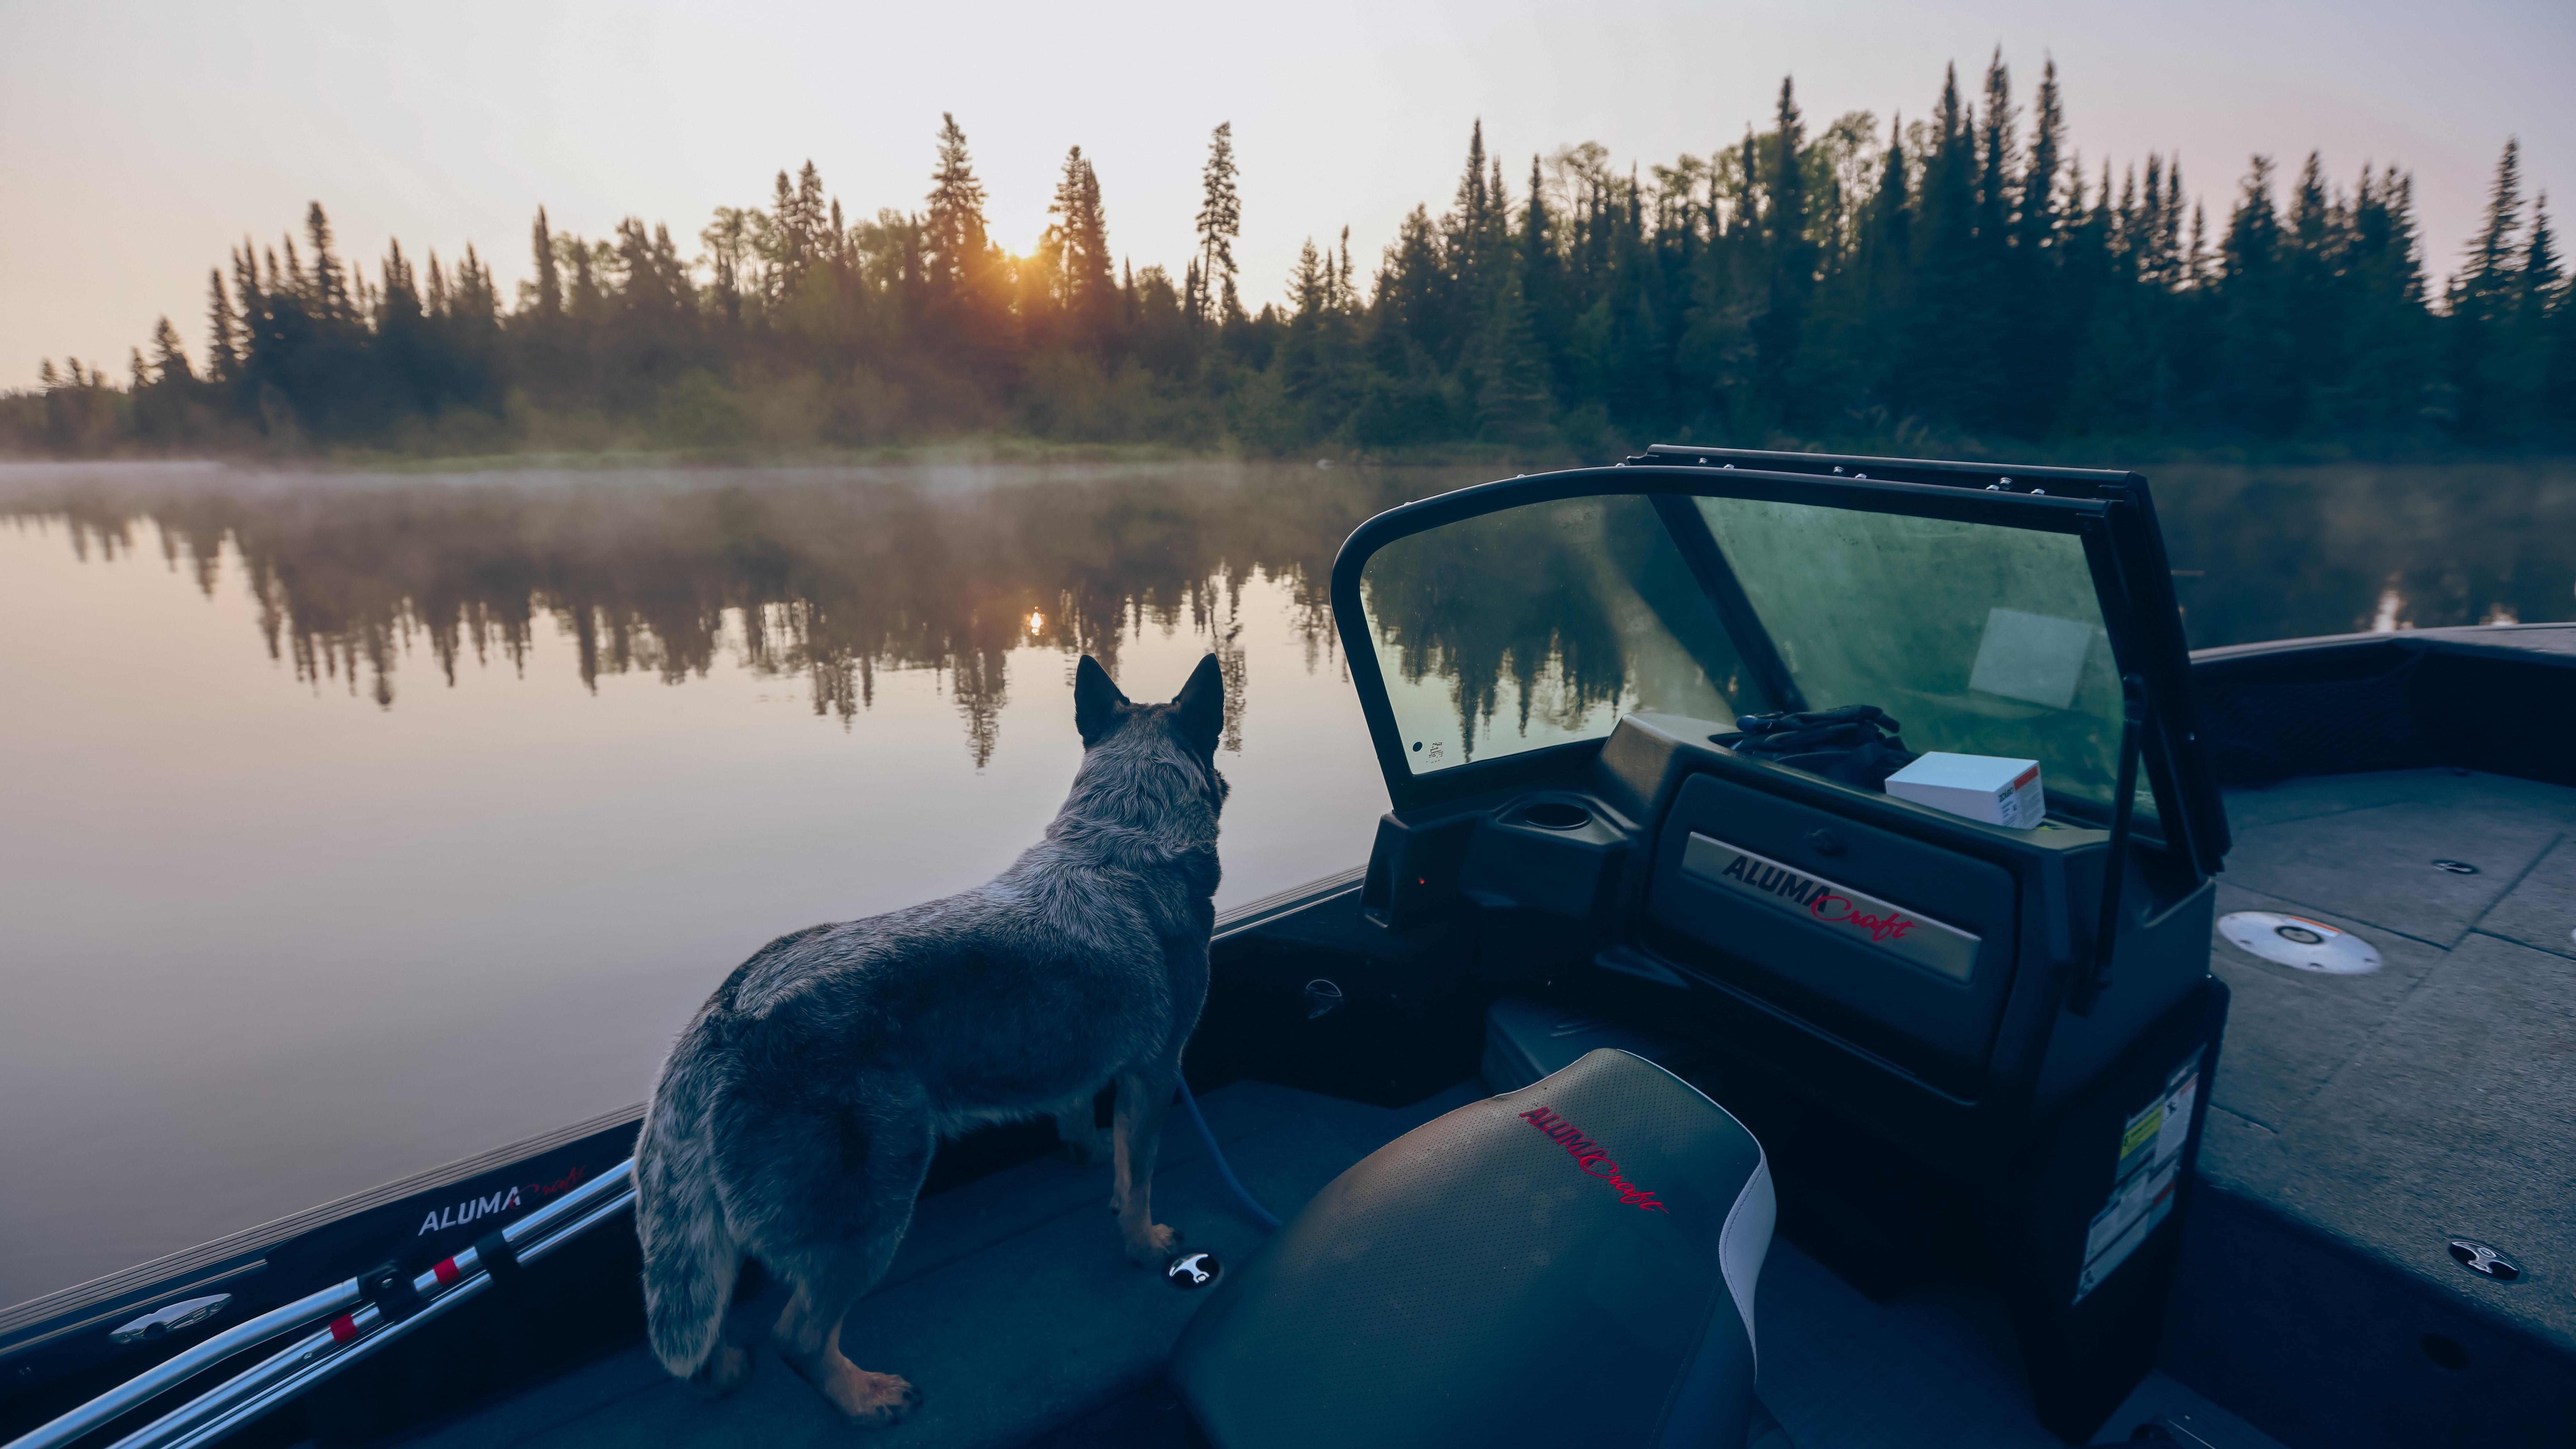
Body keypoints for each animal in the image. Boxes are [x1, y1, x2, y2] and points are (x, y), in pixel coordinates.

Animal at [629, 659, 1221, 1431]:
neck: (1122, 843)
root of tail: (720, 1022)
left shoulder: (1079, 1052)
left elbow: (1082, 1117)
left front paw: (1090, 1151)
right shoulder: (1155, 1069)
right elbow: (1140, 1176)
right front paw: (1144, 1244)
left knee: (704, 1332)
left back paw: (724, 1372)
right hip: (879, 1195)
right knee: (799, 1335)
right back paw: (864, 1397)